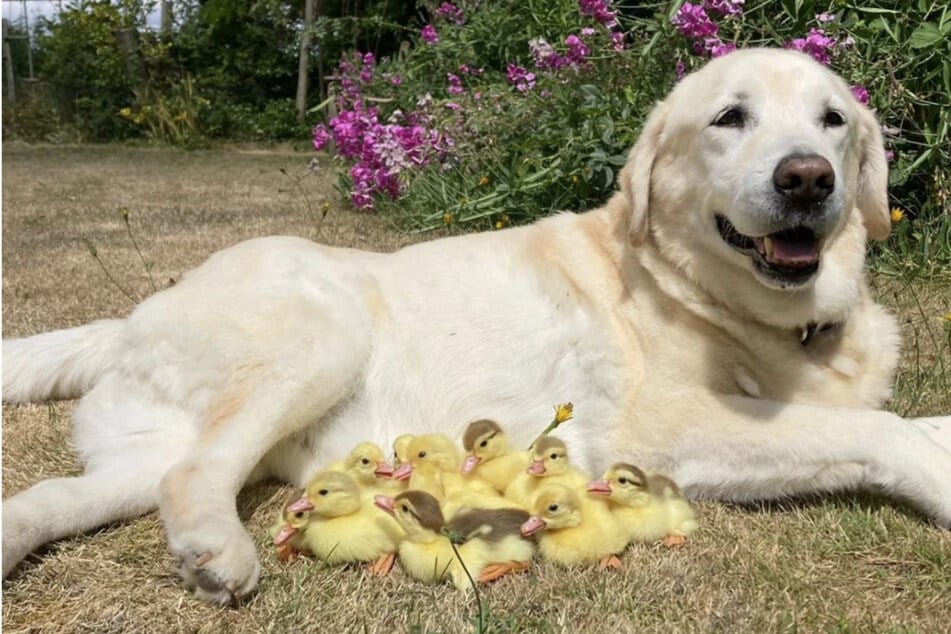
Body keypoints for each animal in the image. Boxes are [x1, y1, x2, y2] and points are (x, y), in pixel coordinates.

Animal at [1, 49, 951, 604]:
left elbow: (895, 419)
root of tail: (132, 315)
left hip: (137, 453)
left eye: (832, 120)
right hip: (319, 336)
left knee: (68, 492)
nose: (808, 179)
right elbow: (878, 430)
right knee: (195, 474)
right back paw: (215, 552)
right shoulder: (666, 427)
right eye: (730, 118)